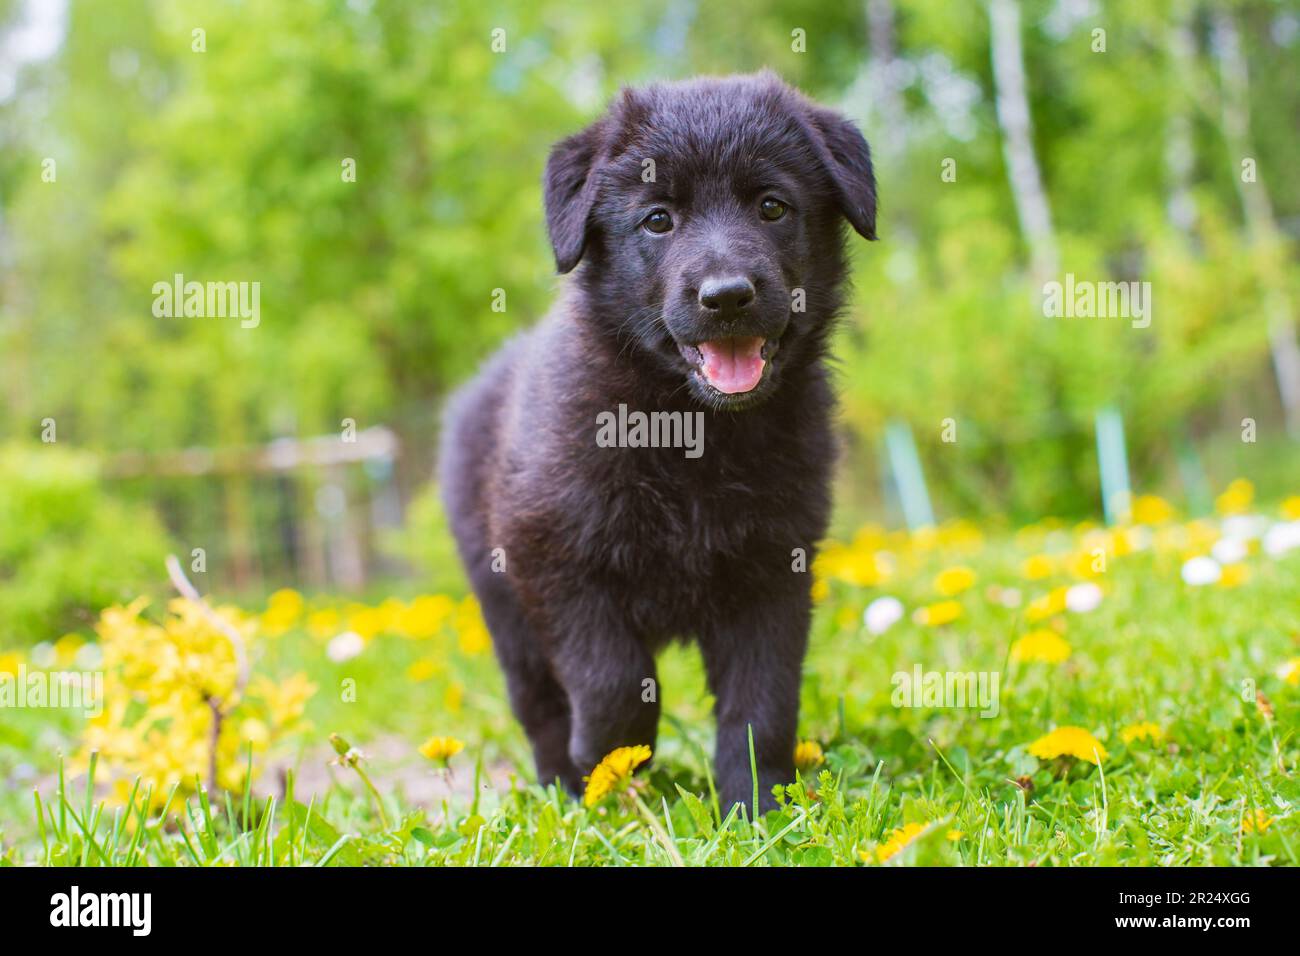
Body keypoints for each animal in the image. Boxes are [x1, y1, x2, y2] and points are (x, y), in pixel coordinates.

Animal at [441, 70, 878, 811]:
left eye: (772, 206)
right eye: (657, 220)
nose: (727, 296)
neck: (691, 432)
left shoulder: (775, 569)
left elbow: (762, 702)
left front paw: (757, 807)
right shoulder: (553, 556)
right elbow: (611, 678)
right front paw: (607, 758)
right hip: (502, 605)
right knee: (538, 704)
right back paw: (564, 790)